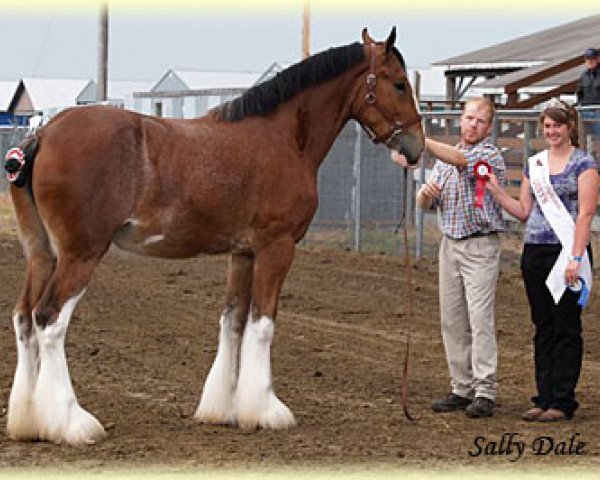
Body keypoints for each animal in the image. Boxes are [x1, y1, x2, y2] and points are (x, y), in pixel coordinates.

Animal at [5, 27, 426, 446]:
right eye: (399, 84)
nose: (416, 147)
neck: (284, 137)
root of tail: (43, 134)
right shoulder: (276, 248)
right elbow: (262, 323)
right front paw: (266, 411)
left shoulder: (242, 253)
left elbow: (233, 321)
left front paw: (224, 408)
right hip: (80, 254)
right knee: (49, 320)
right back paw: (72, 423)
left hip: (42, 254)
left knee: (24, 318)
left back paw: (29, 421)